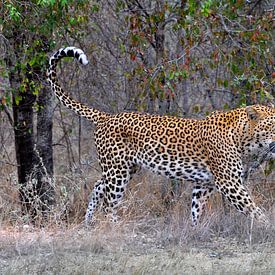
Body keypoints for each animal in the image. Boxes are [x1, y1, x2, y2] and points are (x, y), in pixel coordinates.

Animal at [47, 47, 275, 226]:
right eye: (273, 124)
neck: (243, 138)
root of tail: (107, 116)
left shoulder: (204, 184)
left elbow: (196, 211)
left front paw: (193, 230)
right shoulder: (229, 183)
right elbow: (254, 210)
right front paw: (268, 229)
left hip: (125, 167)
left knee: (97, 187)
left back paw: (88, 221)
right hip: (117, 171)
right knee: (109, 203)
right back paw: (113, 226)